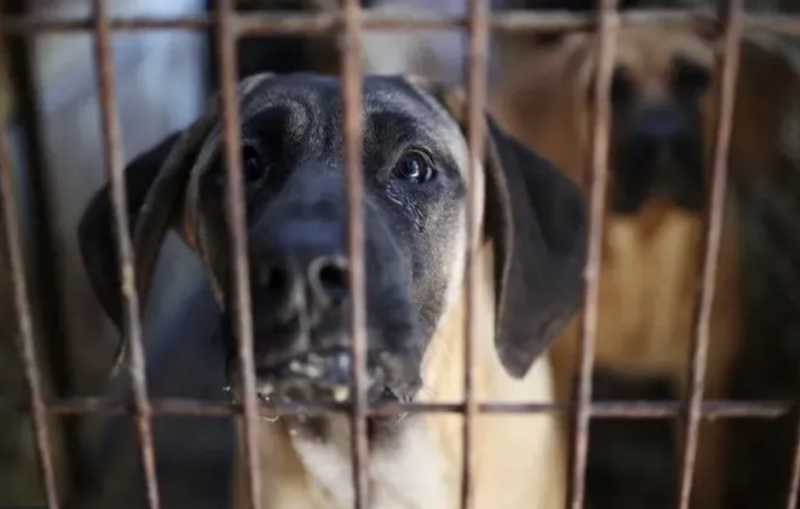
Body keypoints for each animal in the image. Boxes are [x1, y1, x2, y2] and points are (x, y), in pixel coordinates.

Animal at [489, 22, 799, 509]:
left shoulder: (703, 388)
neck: (645, 252)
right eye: (608, 90)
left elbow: (700, 477)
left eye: (695, 78)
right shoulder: (564, 380)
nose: (662, 140)